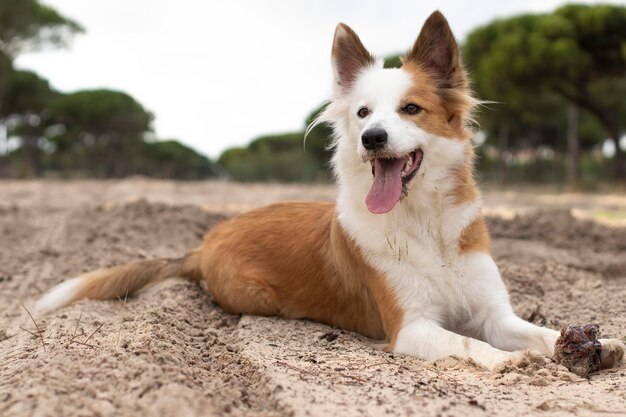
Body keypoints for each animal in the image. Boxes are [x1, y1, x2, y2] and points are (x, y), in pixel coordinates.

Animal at [36, 11, 620, 370]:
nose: (372, 138)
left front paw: (594, 345)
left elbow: (536, 331)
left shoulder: (494, 313)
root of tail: (207, 239)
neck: (423, 222)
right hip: (254, 297)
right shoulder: (410, 328)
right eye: (362, 113)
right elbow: (466, 342)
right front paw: (507, 361)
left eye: (411, 109)